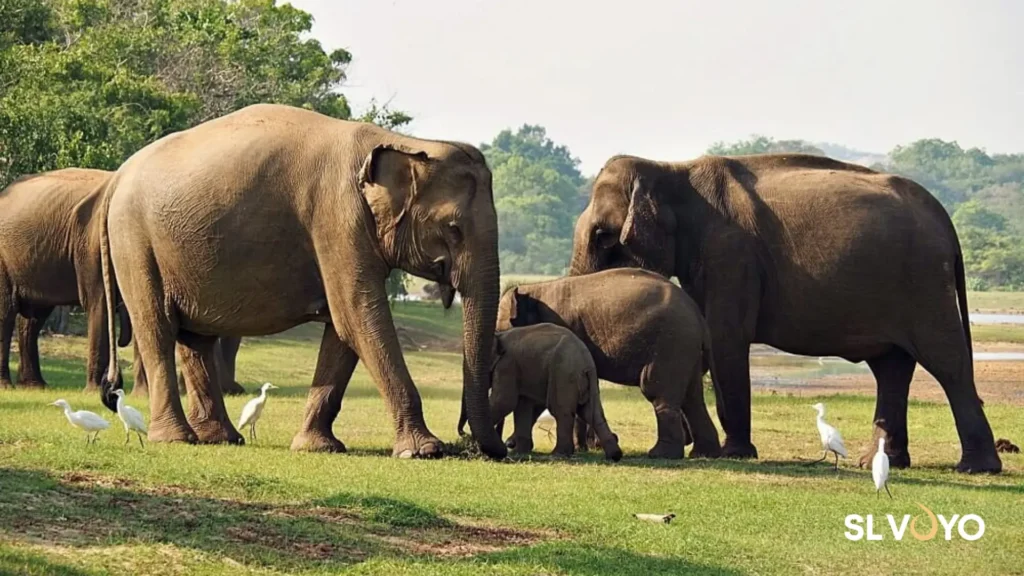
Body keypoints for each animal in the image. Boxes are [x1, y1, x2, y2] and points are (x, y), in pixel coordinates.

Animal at [0, 169, 131, 391]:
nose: (116, 382)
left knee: (34, 319)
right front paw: (94, 391)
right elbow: (99, 304)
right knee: (6, 312)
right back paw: (7, 386)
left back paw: (35, 386)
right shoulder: (91, 246)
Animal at [97, 103, 505, 458]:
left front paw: (318, 447)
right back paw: (177, 439)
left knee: (195, 338)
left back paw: (220, 438)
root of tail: (115, 180)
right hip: (135, 243)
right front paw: (423, 451)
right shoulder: (337, 217)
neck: (402, 141)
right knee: (157, 329)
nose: (490, 449)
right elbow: (358, 315)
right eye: (453, 228)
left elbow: (343, 329)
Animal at [487, 323, 622, 461]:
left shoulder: (507, 366)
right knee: (591, 412)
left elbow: (504, 402)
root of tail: (587, 362)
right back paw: (614, 455)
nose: (506, 445)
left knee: (561, 411)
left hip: (563, 375)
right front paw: (520, 452)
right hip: (586, 381)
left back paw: (558, 455)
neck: (499, 336)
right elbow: (522, 405)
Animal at [570, 153, 1000, 473]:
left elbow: (725, 339)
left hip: (924, 284)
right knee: (891, 367)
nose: (593, 446)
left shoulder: (731, 256)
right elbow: (705, 342)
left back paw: (976, 467)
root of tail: (944, 218)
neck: (672, 168)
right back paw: (878, 462)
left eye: (602, 236)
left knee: (946, 363)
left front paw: (735, 454)